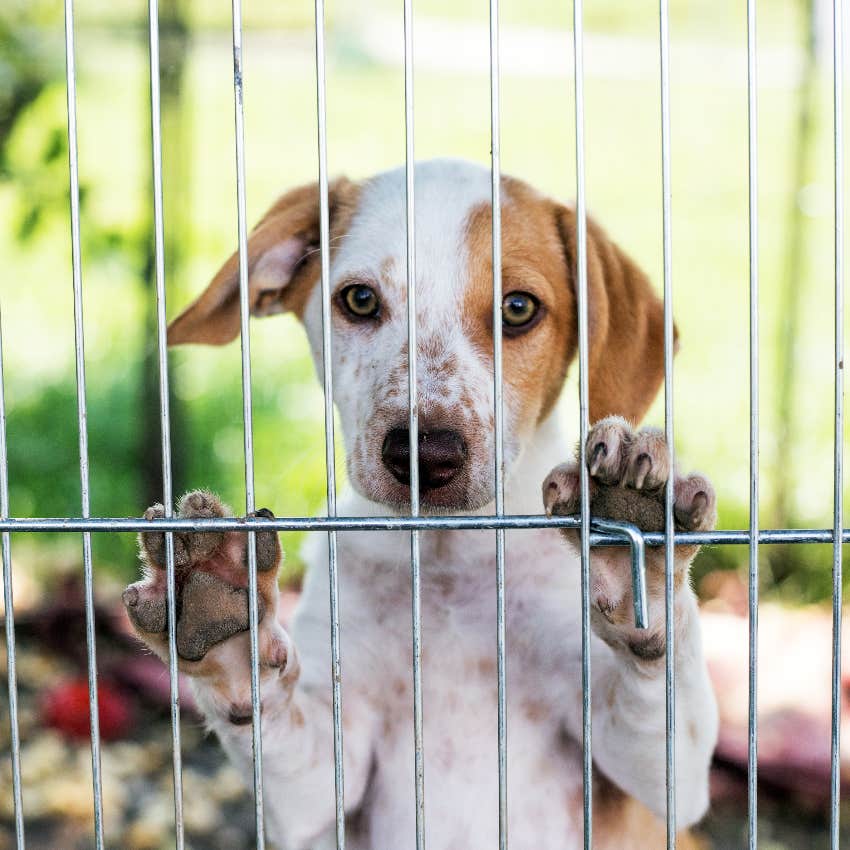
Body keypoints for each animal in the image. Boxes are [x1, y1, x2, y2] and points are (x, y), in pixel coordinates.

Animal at [121, 161, 716, 848]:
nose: (423, 455)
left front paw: (632, 551)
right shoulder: (322, 780)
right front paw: (221, 617)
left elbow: (663, 689)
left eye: (518, 309)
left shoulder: (660, 789)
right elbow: (267, 708)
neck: (446, 554)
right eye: (359, 300)